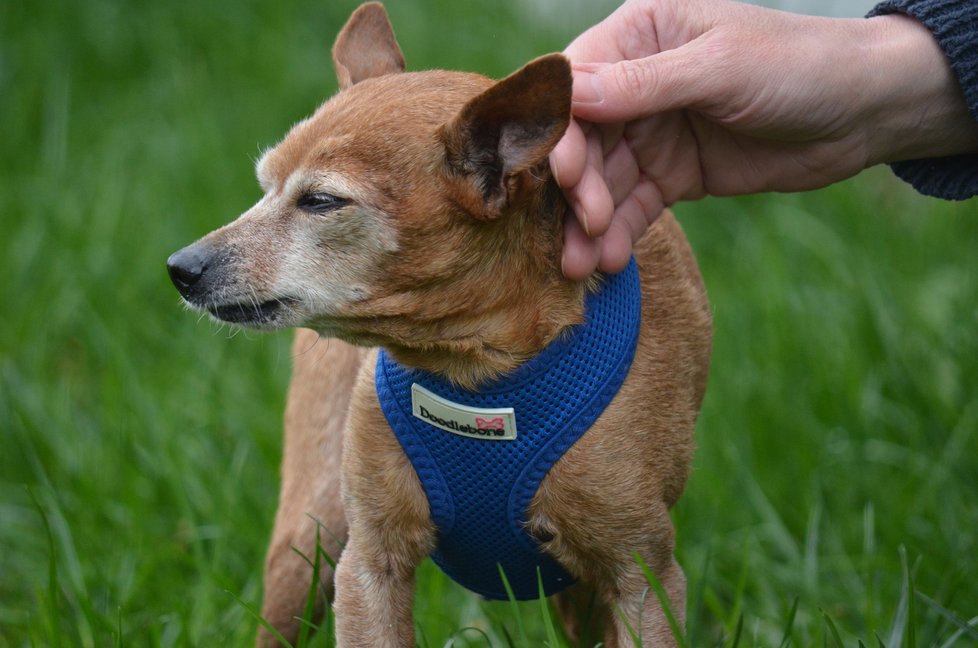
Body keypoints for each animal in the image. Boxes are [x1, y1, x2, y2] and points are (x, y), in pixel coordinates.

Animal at [168, 2, 708, 644]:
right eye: (264, 188)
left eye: (321, 201)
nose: (181, 267)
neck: (474, 370)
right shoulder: (368, 566)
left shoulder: (642, 581)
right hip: (311, 535)